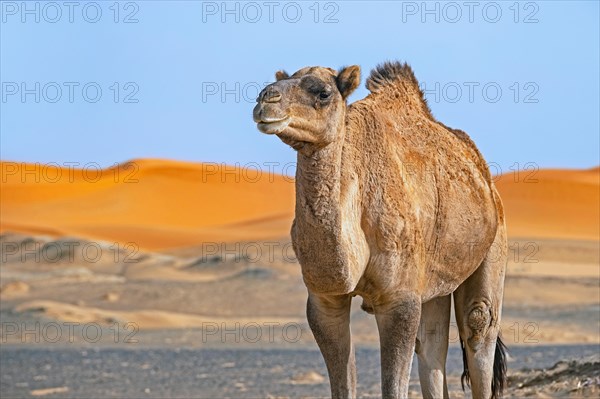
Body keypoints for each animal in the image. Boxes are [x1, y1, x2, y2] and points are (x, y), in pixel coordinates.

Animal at [252, 61, 506, 398]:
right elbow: (343, 386)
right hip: (433, 283)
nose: (265, 99)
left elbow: (394, 386)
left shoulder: (399, 298)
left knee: (478, 324)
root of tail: (485, 178)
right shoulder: (325, 300)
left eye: (323, 92)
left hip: (494, 241)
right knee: (431, 343)